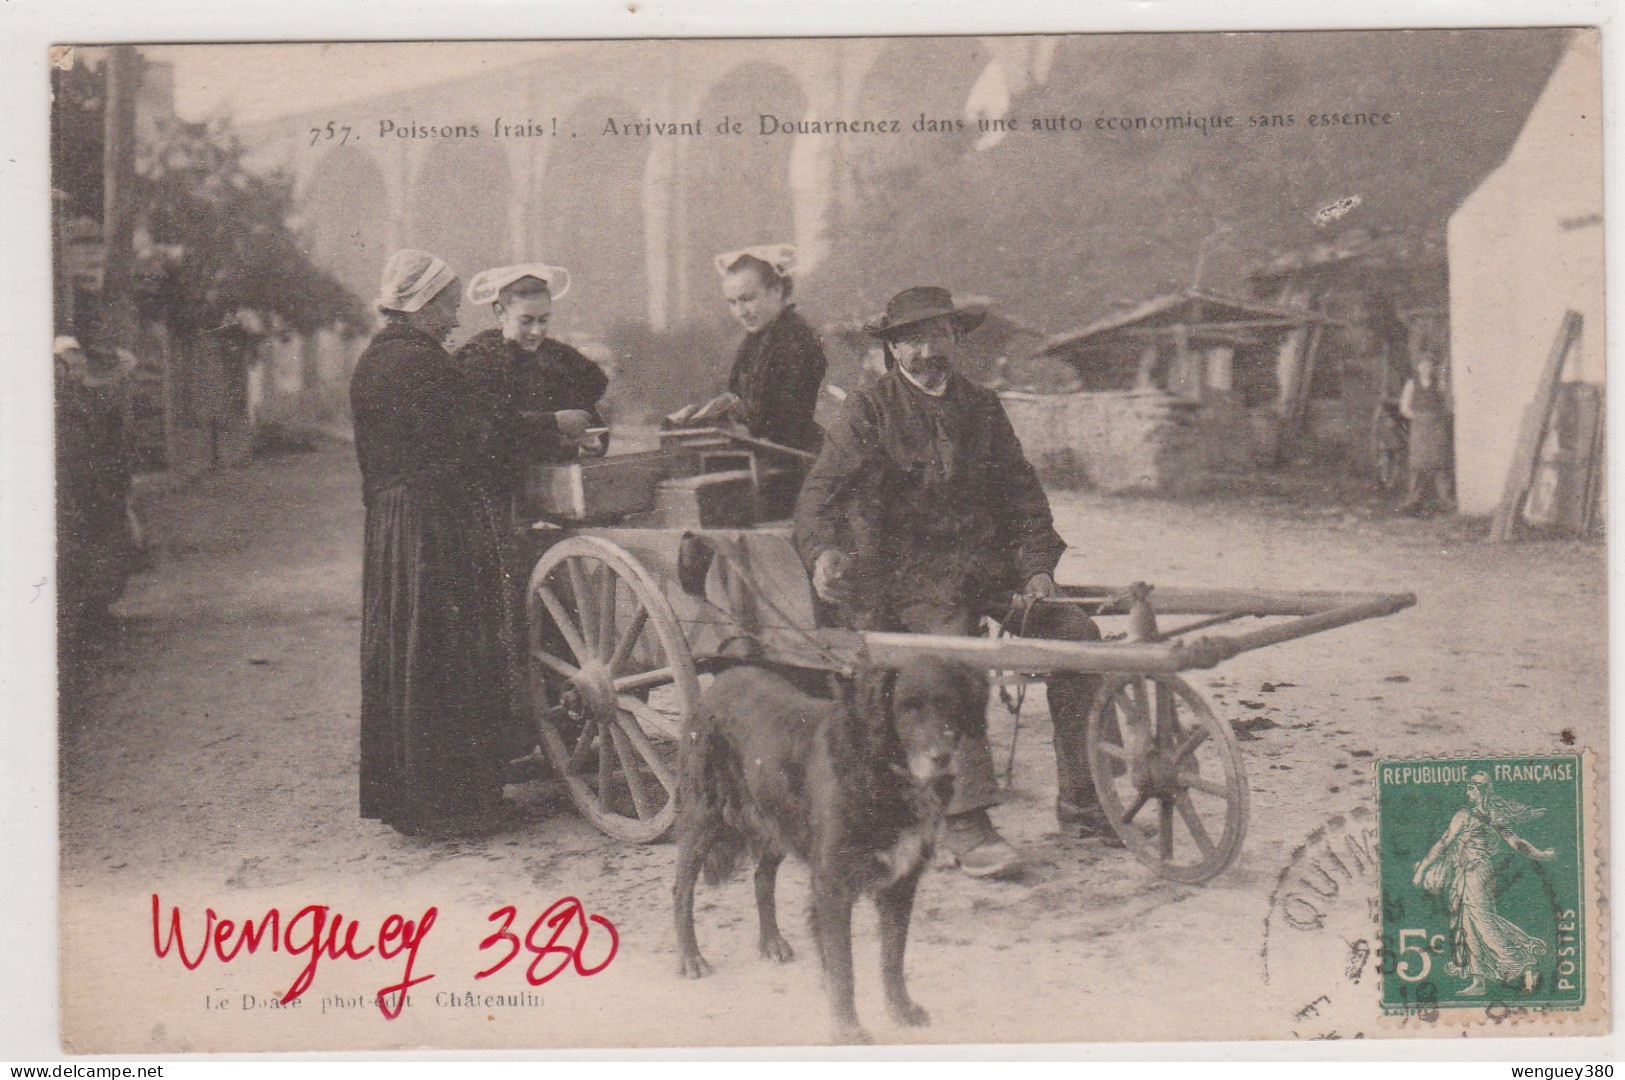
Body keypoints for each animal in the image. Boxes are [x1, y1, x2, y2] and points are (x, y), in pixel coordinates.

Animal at [672, 652, 988, 1039]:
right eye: (906, 708)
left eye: (950, 704)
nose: (940, 757)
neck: (880, 770)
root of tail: (717, 683)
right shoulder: (833, 887)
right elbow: (843, 969)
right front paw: (848, 1030)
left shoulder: (901, 883)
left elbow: (892, 958)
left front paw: (901, 1010)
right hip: (703, 815)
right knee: (681, 889)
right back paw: (691, 958)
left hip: (779, 821)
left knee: (762, 877)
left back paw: (772, 942)